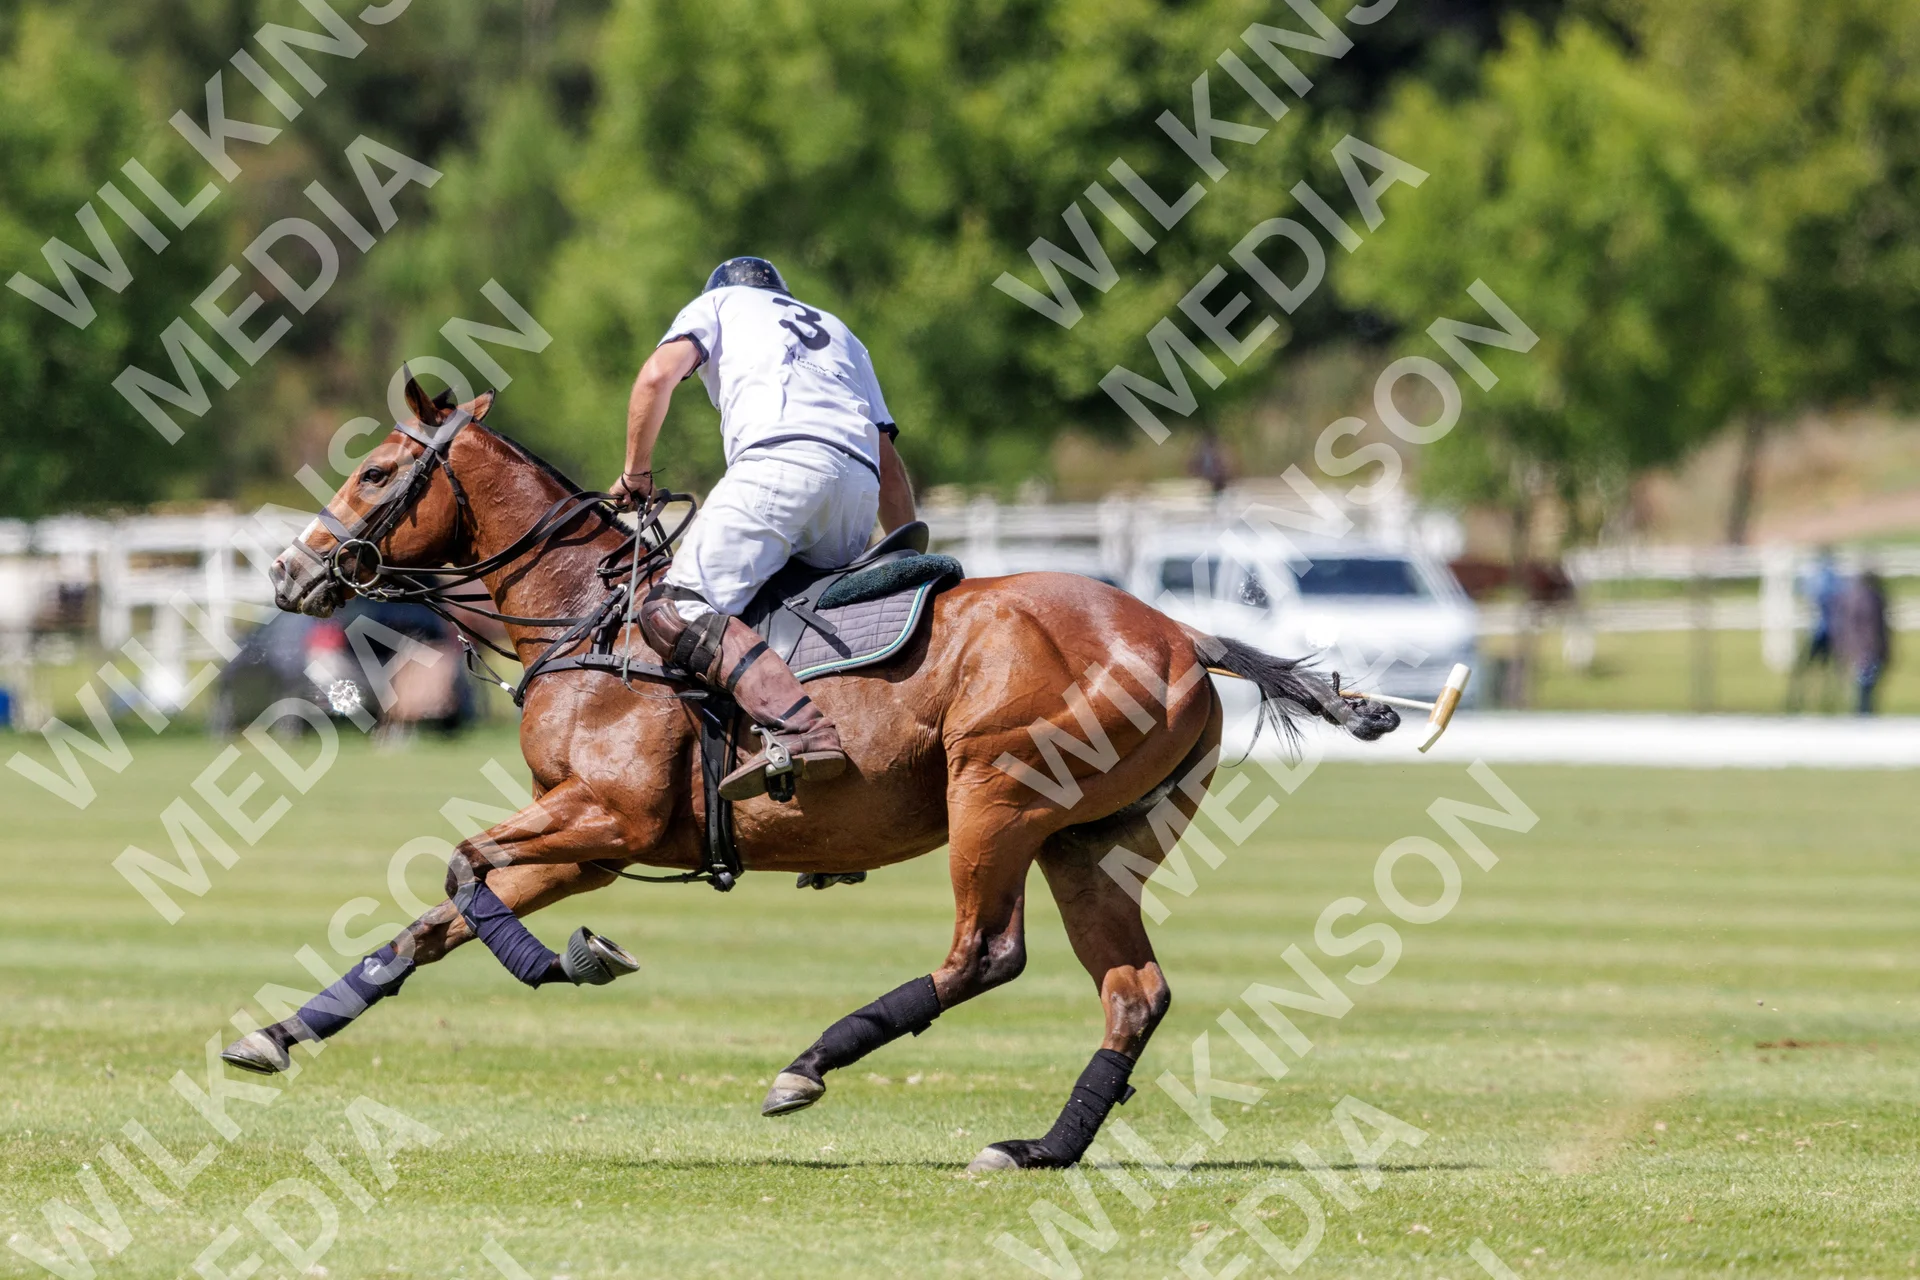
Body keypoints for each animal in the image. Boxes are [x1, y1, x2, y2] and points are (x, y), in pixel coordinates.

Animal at [222, 377, 1398, 1173]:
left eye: (378, 472)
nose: (286, 571)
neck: (584, 609)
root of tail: (1183, 633)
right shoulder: (594, 838)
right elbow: (433, 920)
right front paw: (276, 1034)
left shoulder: (607, 814)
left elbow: (462, 868)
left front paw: (574, 961)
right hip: (1091, 843)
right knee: (1132, 992)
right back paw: (1039, 1146)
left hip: (998, 795)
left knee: (986, 953)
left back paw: (812, 1062)